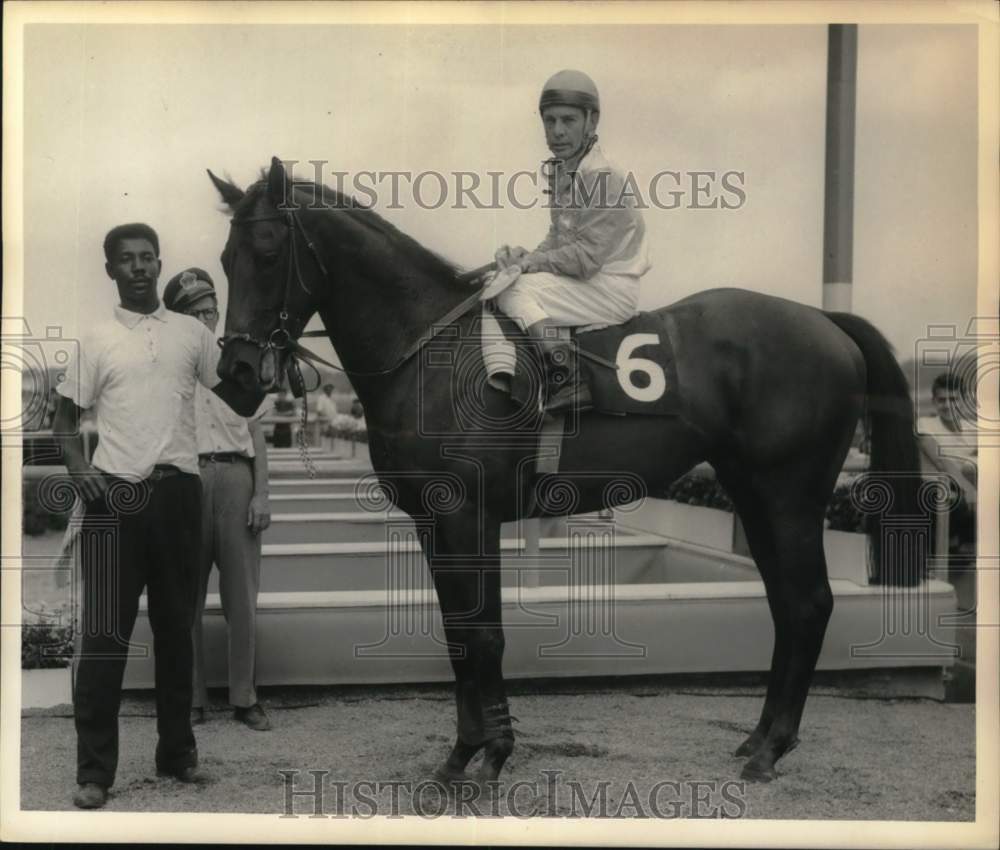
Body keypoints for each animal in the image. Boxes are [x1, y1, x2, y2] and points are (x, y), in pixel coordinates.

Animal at [207, 157, 924, 780]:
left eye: (267, 251)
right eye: (224, 259)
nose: (236, 372)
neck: (431, 355)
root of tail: (824, 320)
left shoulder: (467, 517)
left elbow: (484, 637)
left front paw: (490, 757)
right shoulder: (433, 523)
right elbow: (458, 633)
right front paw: (463, 755)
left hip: (790, 497)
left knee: (808, 603)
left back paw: (771, 751)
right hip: (752, 494)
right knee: (785, 604)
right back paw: (759, 737)